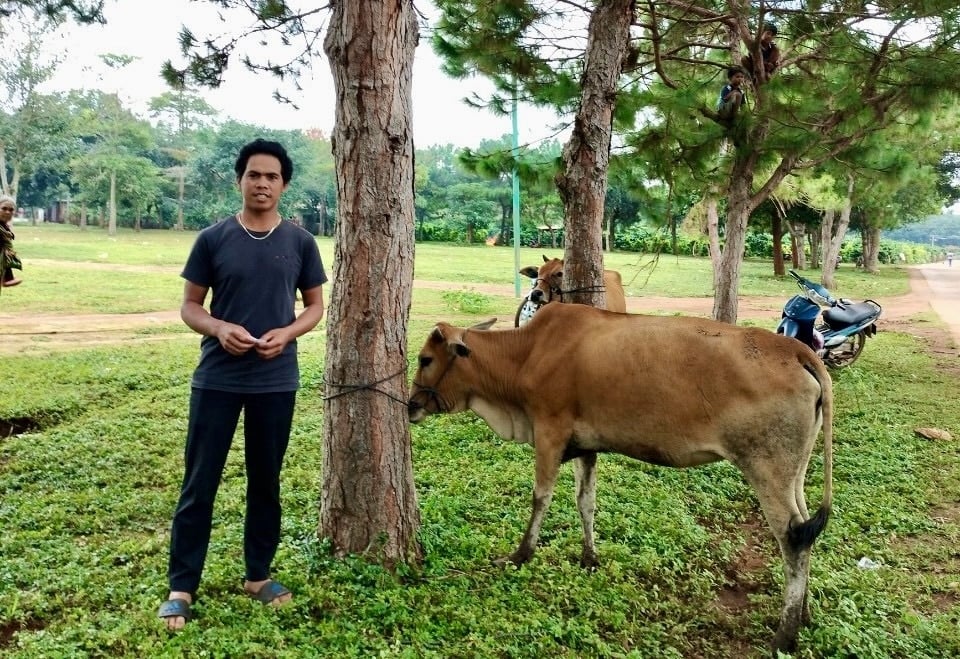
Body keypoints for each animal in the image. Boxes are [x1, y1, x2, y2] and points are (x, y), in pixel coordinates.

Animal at [408, 304, 836, 656]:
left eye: (425, 358)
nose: (411, 405)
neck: (526, 353)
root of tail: (796, 350)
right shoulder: (585, 445)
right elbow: (586, 501)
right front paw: (589, 558)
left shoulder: (549, 431)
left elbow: (541, 497)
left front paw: (520, 554)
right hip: (793, 473)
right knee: (807, 532)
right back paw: (804, 614)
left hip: (766, 468)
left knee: (792, 540)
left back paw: (784, 635)